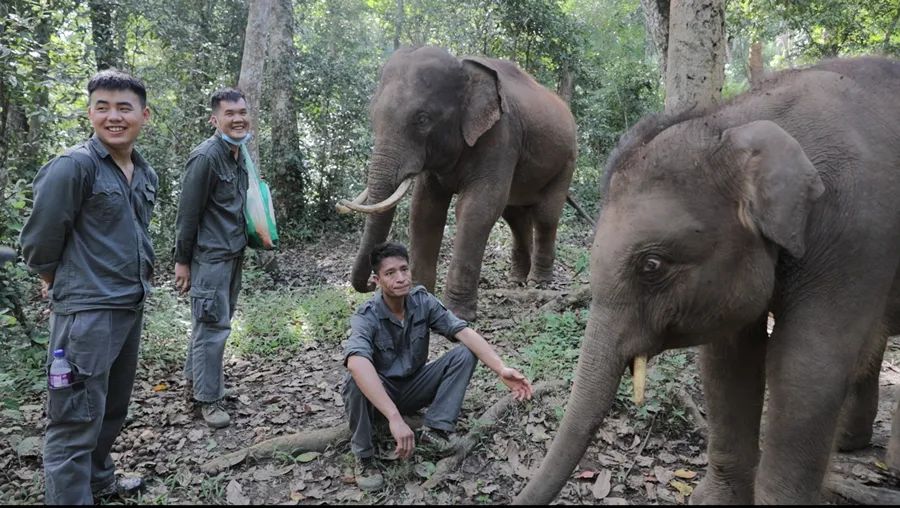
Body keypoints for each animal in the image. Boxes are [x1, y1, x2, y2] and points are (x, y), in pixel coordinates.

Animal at [336, 44, 576, 322]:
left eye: (422, 119)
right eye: (372, 115)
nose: (372, 283)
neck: (463, 67)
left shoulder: (502, 136)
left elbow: (477, 209)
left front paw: (459, 313)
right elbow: (425, 210)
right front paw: (420, 295)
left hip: (567, 160)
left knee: (545, 215)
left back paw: (539, 281)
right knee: (515, 216)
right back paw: (516, 280)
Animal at [516, 56, 900, 504]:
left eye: (652, 265)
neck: (736, 122)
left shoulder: (857, 234)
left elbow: (806, 366)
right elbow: (728, 361)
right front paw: (715, 499)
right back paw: (851, 446)